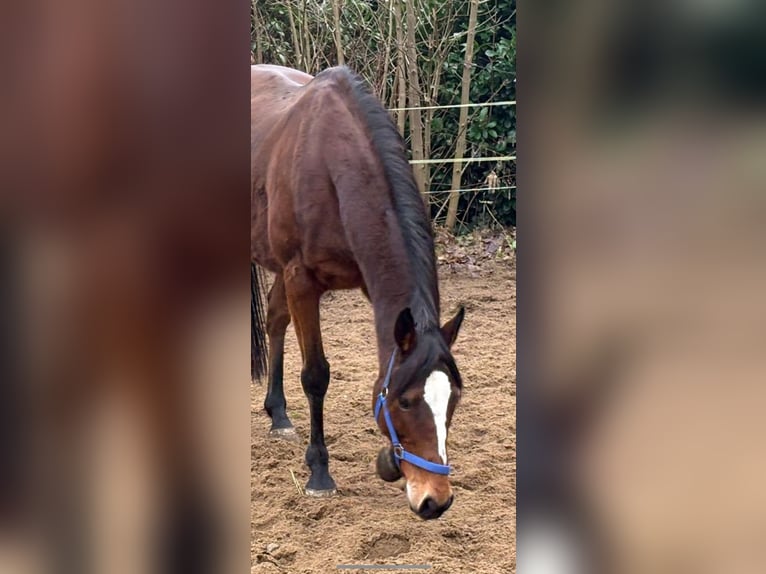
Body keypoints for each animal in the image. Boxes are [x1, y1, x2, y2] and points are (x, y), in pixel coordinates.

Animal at [250, 64, 466, 520]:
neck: (328, 162)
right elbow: (316, 375)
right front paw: (319, 473)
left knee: (274, 321)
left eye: (453, 398)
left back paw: (278, 415)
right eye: (405, 402)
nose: (436, 501)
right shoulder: (301, 280)